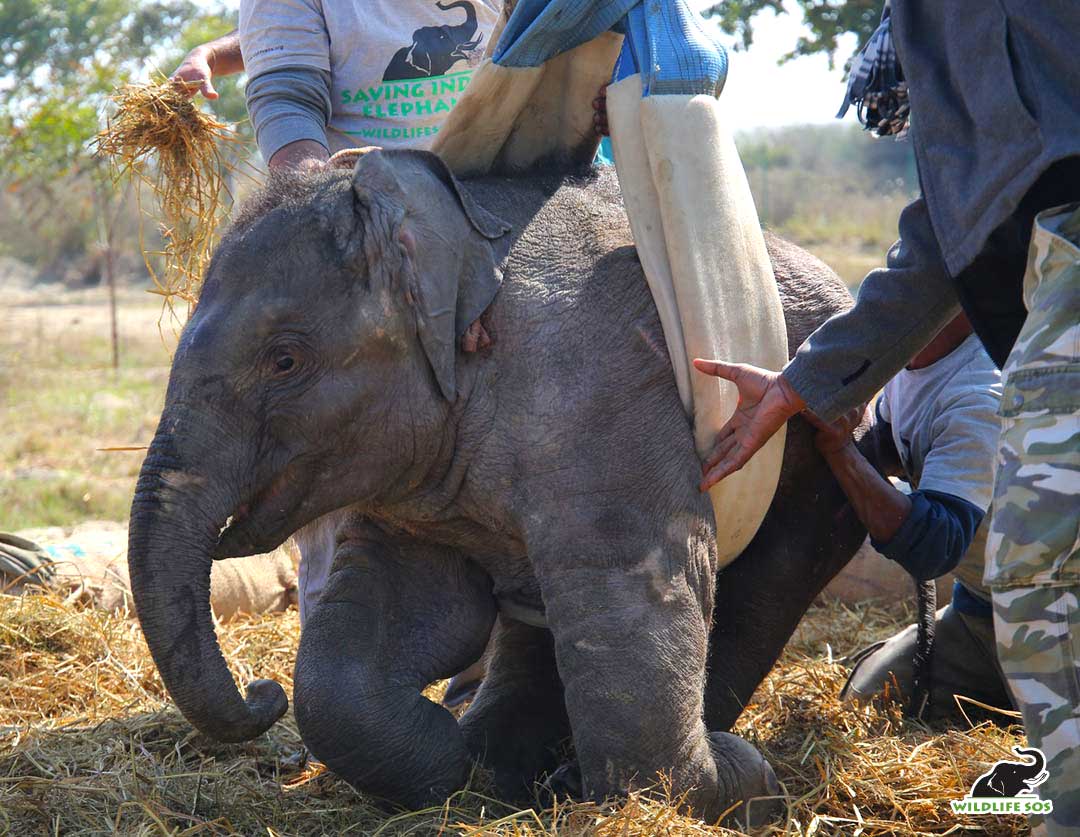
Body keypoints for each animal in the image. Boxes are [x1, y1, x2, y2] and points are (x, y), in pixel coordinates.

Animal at [127, 149, 870, 825]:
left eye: (284, 360)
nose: (261, 691)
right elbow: (387, 626)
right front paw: (455, 765)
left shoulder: (602, 399)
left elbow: (635, 607)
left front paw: (737, 784)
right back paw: (506, 761)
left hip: (820, 452)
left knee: (759, 587)